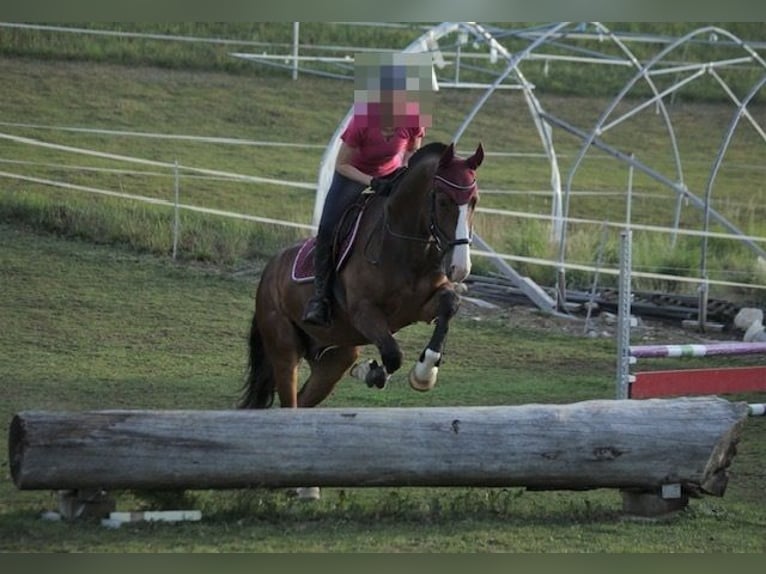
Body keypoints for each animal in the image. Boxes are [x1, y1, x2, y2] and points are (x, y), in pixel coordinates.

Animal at [238, 143, 486, 414]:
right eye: (442, 201)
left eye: (474, 201)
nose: (460, 268)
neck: (404, 247)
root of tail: (270, 268)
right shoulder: (363, 312)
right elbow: (393, 354)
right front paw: (370, 371)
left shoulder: (419, 308)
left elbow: (448, 305)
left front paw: (424, 374)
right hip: (284, 348)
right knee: (289, 398)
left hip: (333, 358)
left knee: (305, 399)